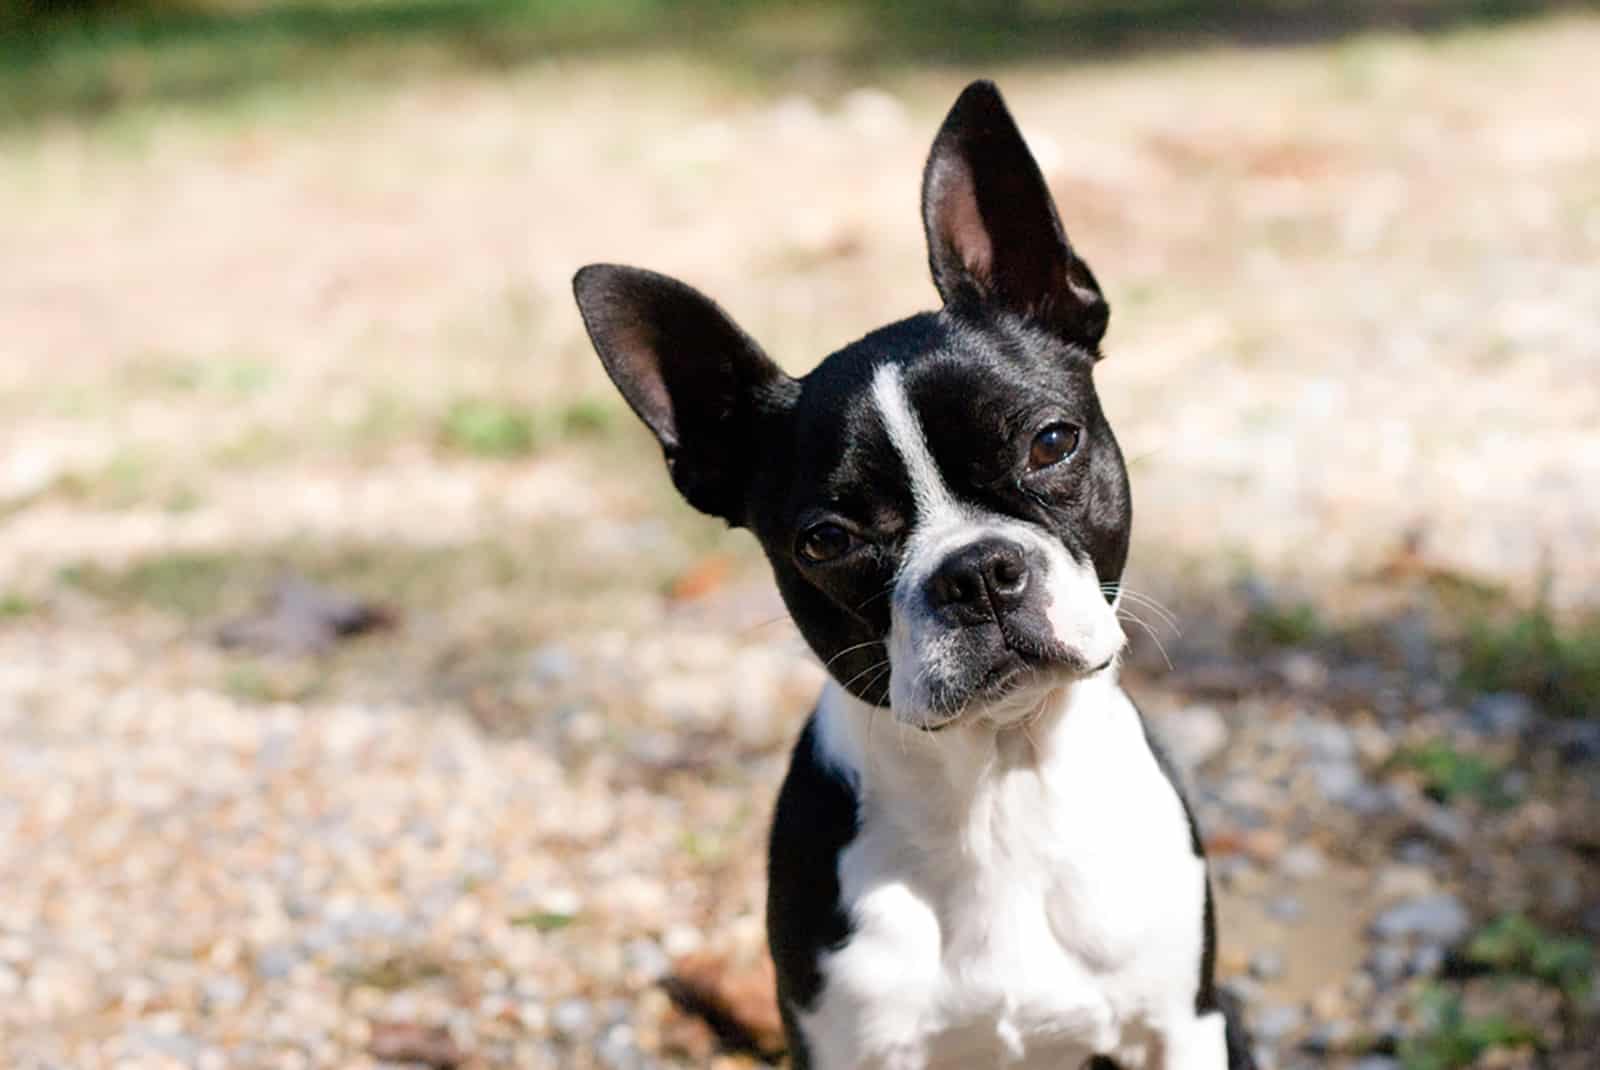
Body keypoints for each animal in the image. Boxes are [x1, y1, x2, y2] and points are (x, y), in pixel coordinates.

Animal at [572, 83, 1248, 1068]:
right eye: (825, 540)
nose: (978, 572)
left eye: (1052, 443)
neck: (1001, 788)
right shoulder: (844, 1043)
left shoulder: (1182, 1023)